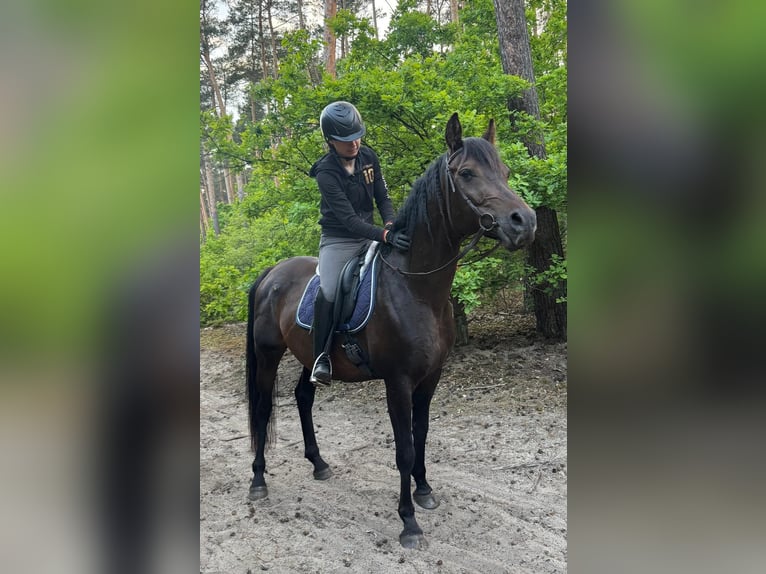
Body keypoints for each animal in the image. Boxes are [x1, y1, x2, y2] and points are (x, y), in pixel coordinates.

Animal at [245, 113, 537, 548]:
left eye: (504, 172)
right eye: (467, 173)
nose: (525, 223)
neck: (416, 289)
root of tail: (272, 272)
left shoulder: (431, 378)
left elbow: (422, 433)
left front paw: (425, 491)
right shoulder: (398, 381)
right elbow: (404, 448)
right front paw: (409, 522)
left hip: (309, 356)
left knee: (302, 397)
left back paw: (318, 463)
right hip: (268, 354)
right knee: (263, 409)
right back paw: (258, 481)